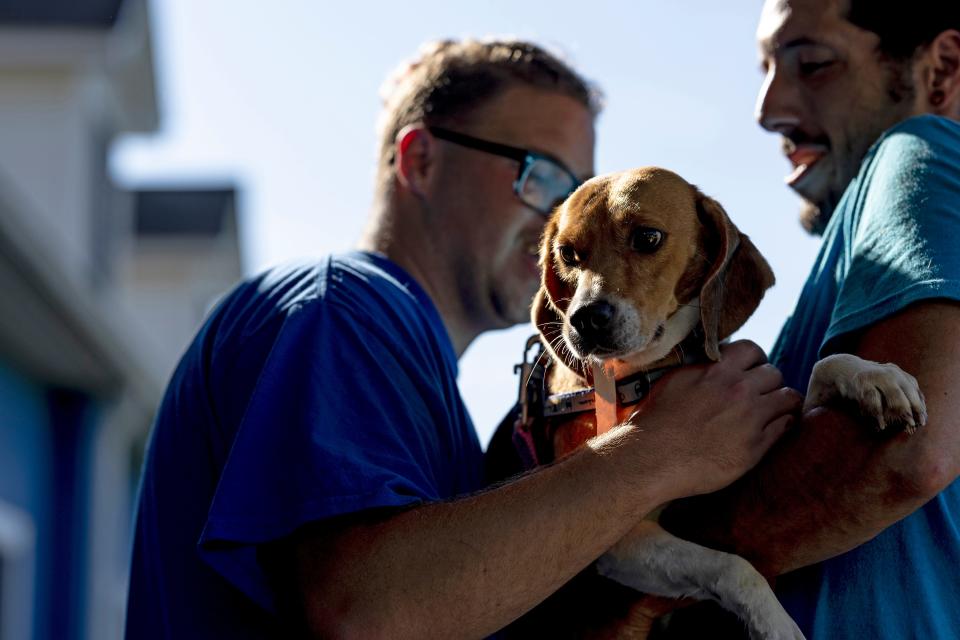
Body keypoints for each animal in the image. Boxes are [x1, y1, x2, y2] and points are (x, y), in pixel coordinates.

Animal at [532, 166, 924, 640]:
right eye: (568, 254)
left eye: (647, 237)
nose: (584, 319)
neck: (653, 368)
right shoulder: (620, 541)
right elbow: (733, 567)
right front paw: (775, 623)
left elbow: (824, 366)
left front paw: (875, 378)